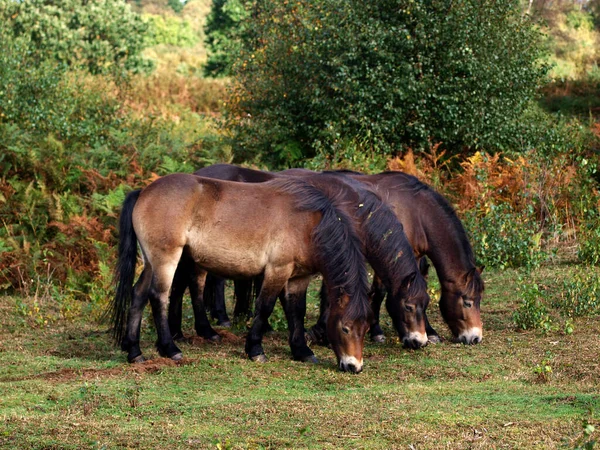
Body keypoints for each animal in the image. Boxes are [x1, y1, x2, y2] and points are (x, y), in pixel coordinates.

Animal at [108, 172, 370, 372]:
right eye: (345, 328)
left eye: (365, 329)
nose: (354, 367)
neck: (307, 224)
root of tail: (144, 191)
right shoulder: (277, 270)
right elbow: (265, 307)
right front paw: (255, 349)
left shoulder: (299, 277)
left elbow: (297, 311)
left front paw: (301, 351)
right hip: (165, 259)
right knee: (158, 296)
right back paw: (170, 349)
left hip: (151, 262)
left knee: (138, 294)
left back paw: (134, 351)